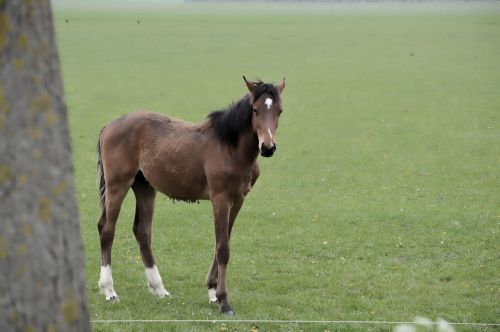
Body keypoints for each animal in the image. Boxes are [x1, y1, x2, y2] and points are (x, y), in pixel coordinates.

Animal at [96, 76, 286, 316]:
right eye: (255, 109)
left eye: (279, 110)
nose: (268, 147)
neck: (231, 148)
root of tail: (109, 126)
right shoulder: (220, 199)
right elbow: (223, 248)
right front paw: (224, 301)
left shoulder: (238, 200)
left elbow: (223, 241)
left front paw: (213, 291)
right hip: (117, 185)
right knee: (107, 229)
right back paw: (109, 290)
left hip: (145, 187)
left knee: (142, 231)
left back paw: (159, 288)